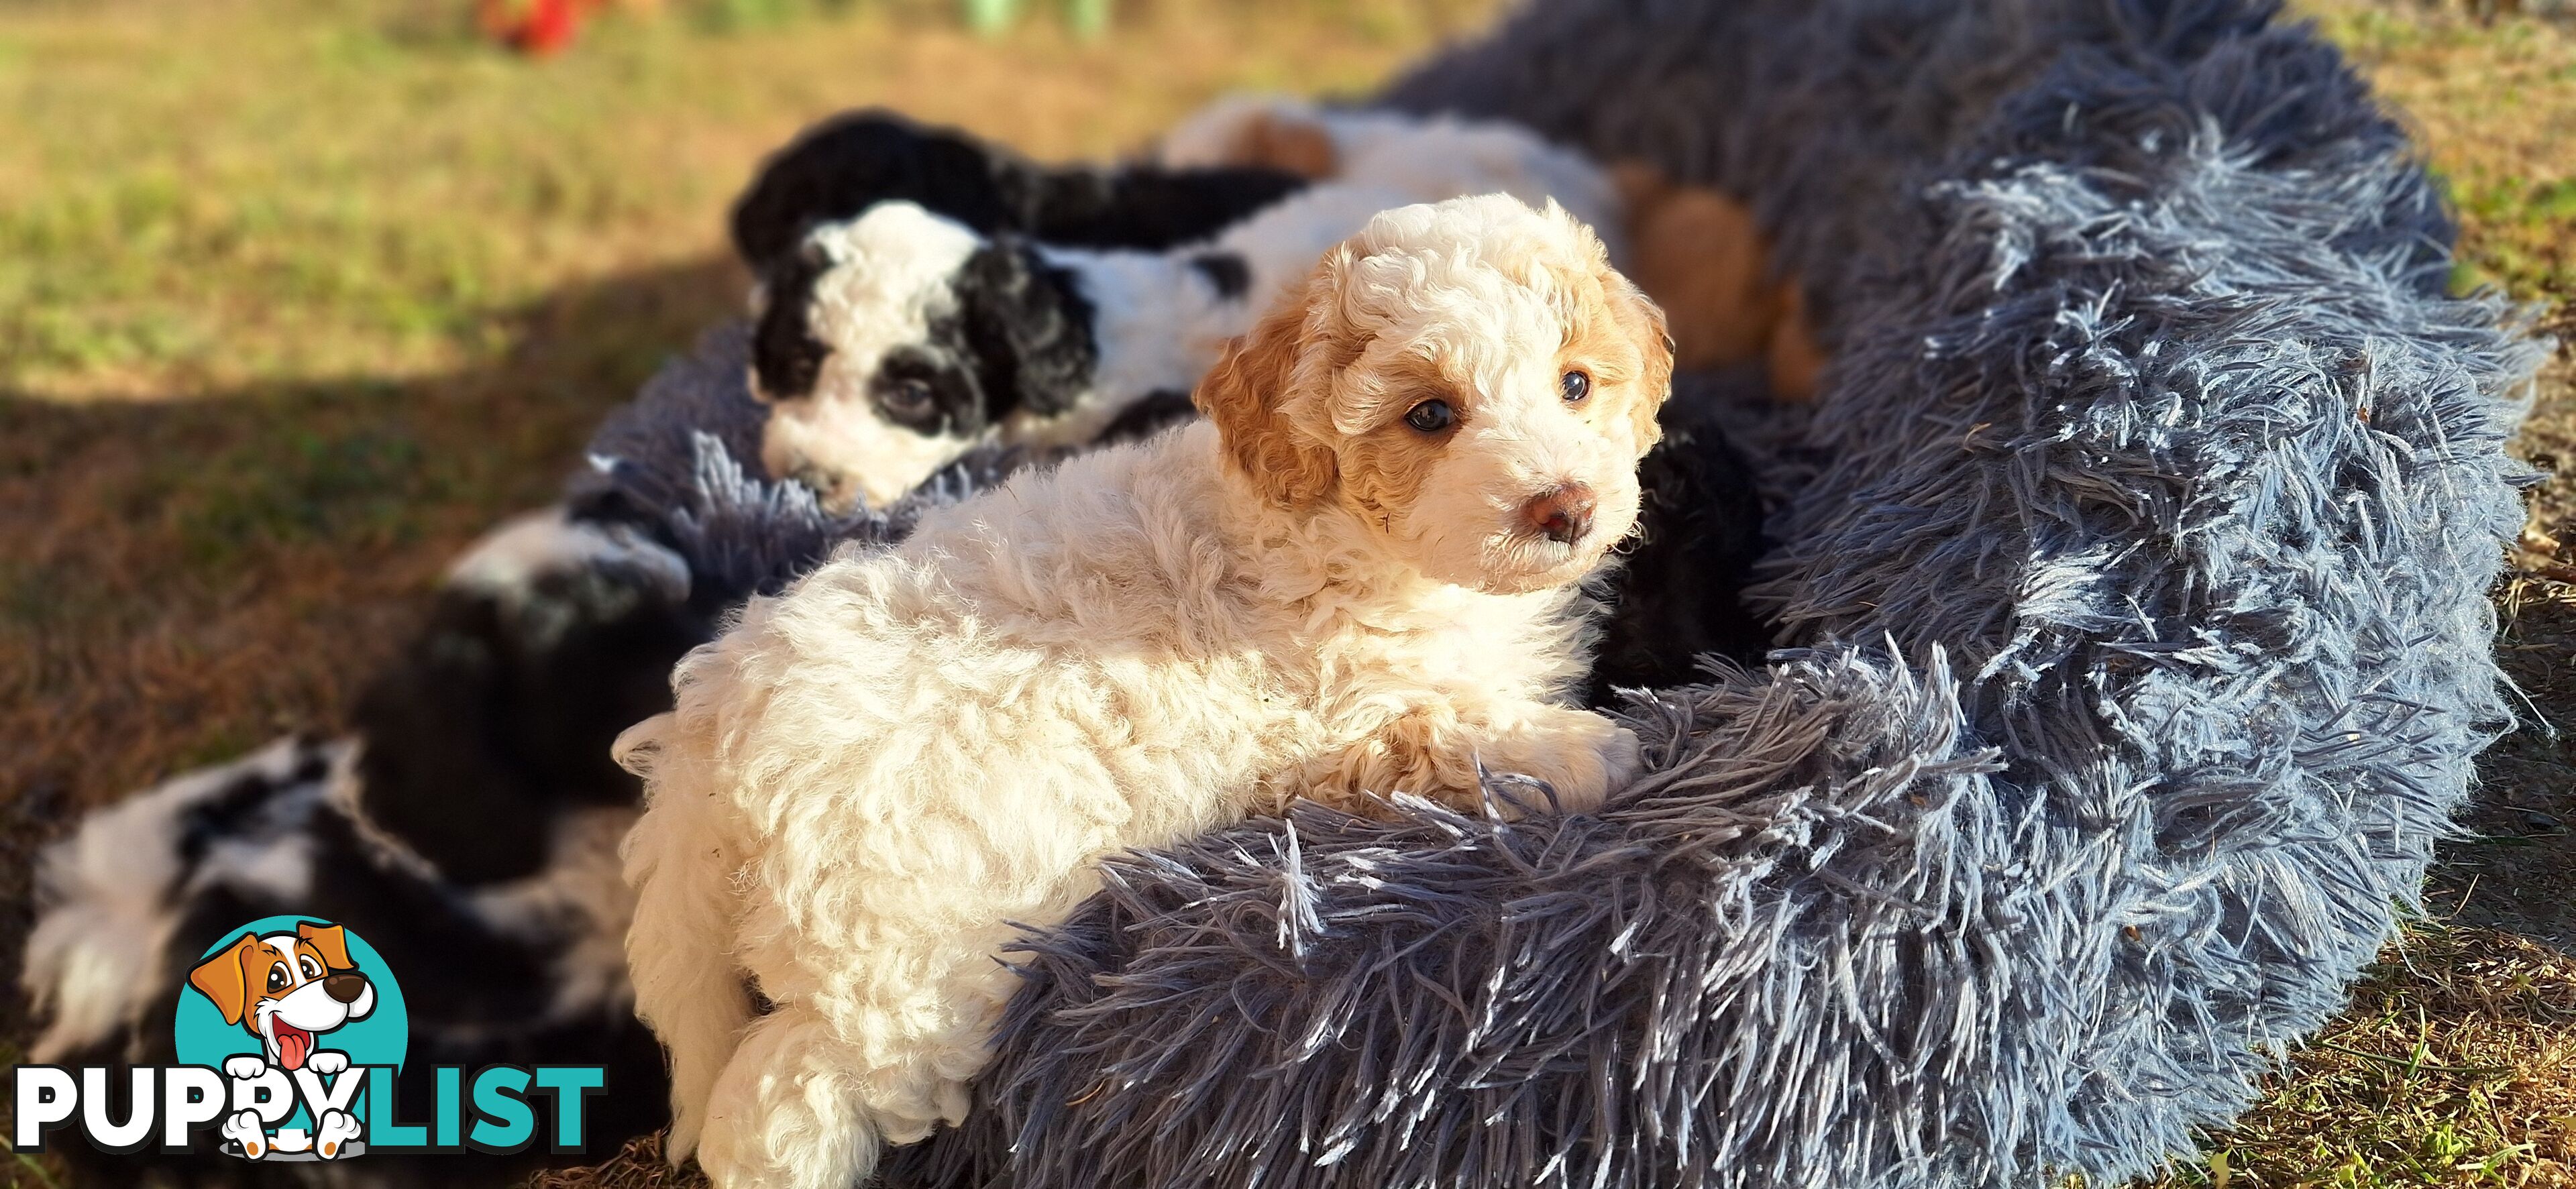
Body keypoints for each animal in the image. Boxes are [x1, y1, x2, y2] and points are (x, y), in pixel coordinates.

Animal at [615, 195, 1679, 1189]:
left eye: (1576, 383)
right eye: (1431, 416)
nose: (1564, 508)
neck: (1345, 537)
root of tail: (711, 730)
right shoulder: (1325, 721)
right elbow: (1445, 729)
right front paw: (1588, 750)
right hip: (897, 957)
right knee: (781, 1106)